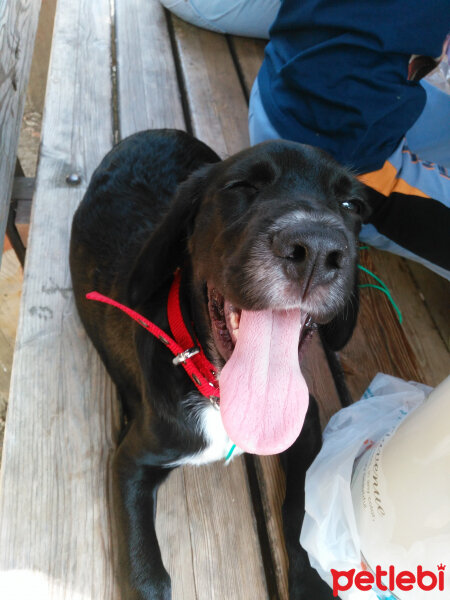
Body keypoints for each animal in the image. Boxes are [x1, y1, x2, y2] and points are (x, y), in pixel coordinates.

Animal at [69, 130, 366, 600]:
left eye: (352, 204)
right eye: (242, 185)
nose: (317, 250)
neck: (221, 393)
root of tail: (149, 132)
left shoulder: (305, 420)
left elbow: (301, 509)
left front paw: (311, 583)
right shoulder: (130, 461)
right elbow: (145, 573)